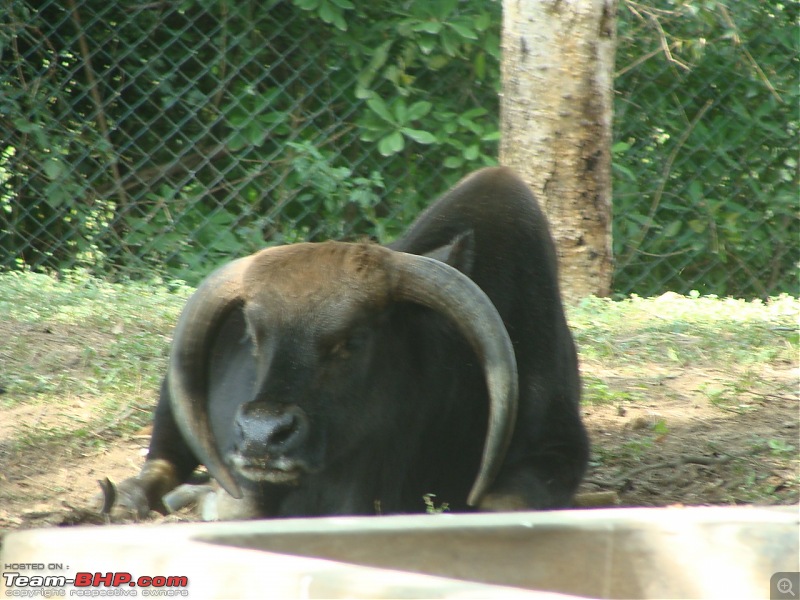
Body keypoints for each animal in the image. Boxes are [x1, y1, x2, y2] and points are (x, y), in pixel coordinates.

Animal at [108, 166, 588, 516]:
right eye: (255, 336)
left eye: (354, 339)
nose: (262, 435)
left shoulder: (557, 450)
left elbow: (501, 502)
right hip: (173, 401)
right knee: (162, 460)